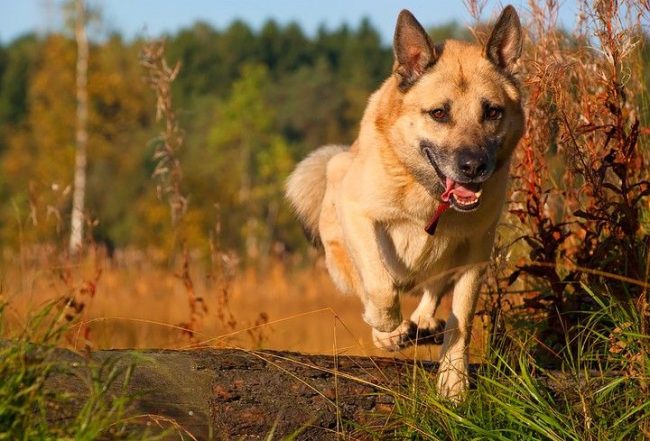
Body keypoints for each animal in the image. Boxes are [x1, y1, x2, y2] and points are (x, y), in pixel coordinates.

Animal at [284, 6, 520, 398]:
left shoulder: (475, 253)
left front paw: (453, 382)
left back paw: (423, 323)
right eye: (439, 113)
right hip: (338, 214)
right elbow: (380, 287)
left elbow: (461, 319)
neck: (431, 200)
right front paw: (387, 328)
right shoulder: (358, 215)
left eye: (492, 112)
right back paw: (392, 332)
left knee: (433, 292)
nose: (474, 166)